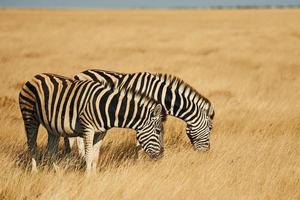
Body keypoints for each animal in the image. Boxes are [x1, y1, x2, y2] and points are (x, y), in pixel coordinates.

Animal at [18, 73, 166, 173]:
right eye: (158, 131)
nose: (161, 156)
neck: (107, 107)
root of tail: (34, 77)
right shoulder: (88, 128)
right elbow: (88, 155)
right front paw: (88, 177)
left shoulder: (101, 132)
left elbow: (95, 155)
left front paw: (94, 176)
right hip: (29, 117)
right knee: (32, 145)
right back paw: (35, 171)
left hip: (52, 126)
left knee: (51, 149)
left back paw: (58, 173)